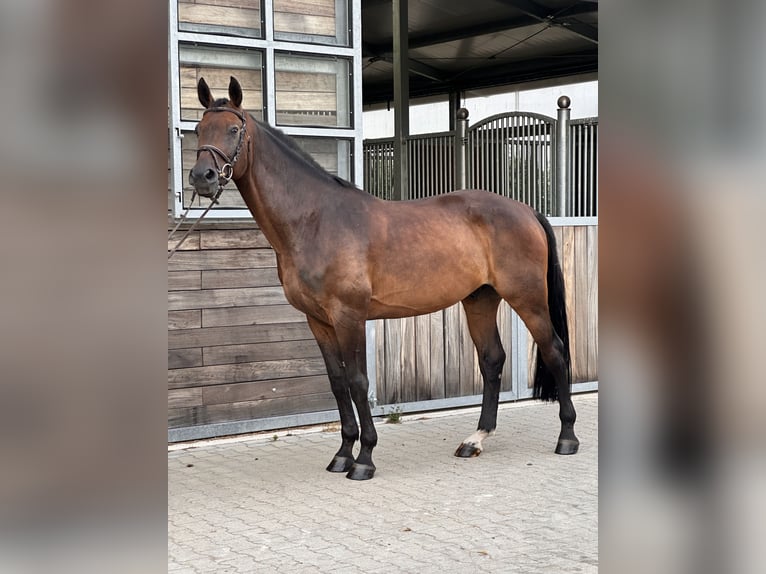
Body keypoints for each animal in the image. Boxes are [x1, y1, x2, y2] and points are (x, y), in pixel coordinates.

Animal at [188, 76, 578, 480]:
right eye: (198, 129)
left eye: (234, 130)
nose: (202, 177)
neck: (315, 219)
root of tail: (526, 211)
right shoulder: (318, 321)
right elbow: (338, 383)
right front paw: (342, 454)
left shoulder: (349, 316)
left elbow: (359, 382)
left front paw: (364, 459)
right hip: (480, 299)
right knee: (492, 360)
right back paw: (476, 439)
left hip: (528, 298)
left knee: (555, 351)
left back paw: (567, 437)